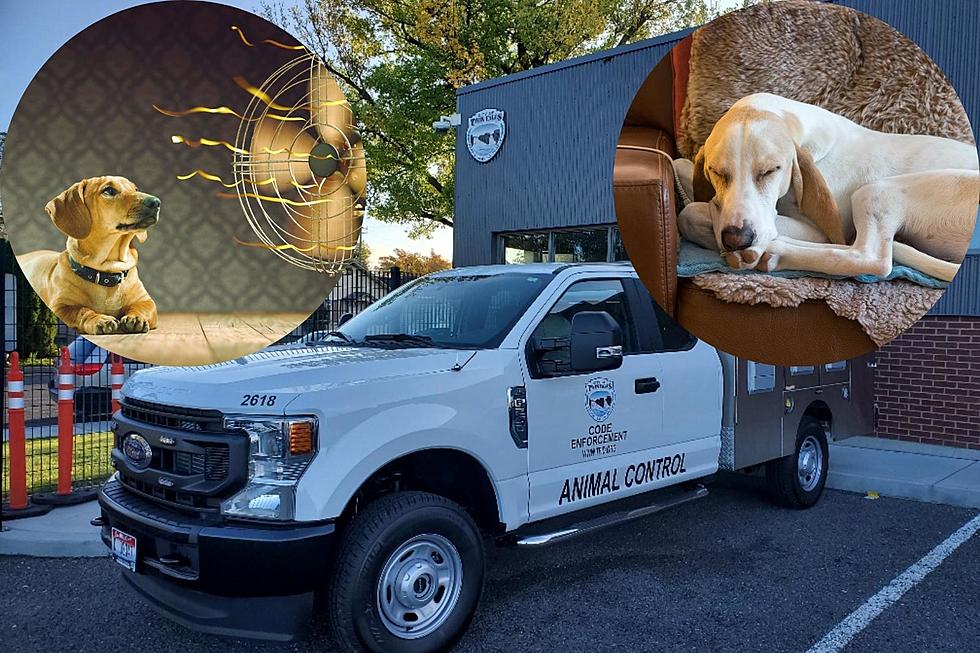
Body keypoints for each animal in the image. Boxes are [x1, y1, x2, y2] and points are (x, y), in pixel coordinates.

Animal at [17, 176, 159, 334]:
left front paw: (135, 317)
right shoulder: (60, 307)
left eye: (135, 189)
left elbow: (142, 307)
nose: (156, 202)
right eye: (109, 190)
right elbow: (81, 311)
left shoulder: (146, 301)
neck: (106, 275)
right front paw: (99, 319)